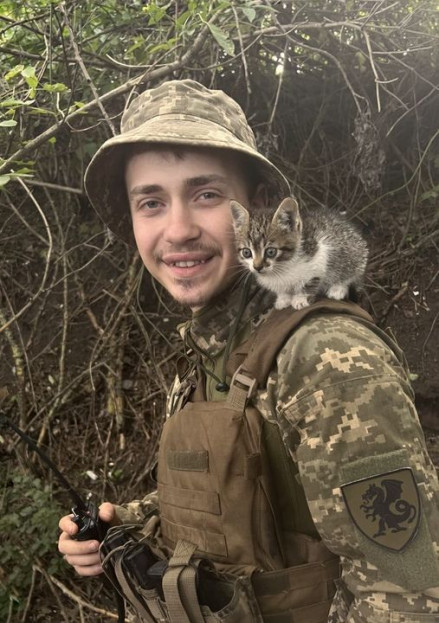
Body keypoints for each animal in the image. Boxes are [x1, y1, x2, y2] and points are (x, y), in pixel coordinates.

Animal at [230, 197, 368, 310]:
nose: (257, 267)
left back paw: (338, 288)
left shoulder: (319, 253)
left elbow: (309, 281)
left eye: (271, 251)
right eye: (247, 252)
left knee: (350, 273)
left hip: (353, 252)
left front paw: (300, 299)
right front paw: (283, 298)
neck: (282, 267)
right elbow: (283, 290)